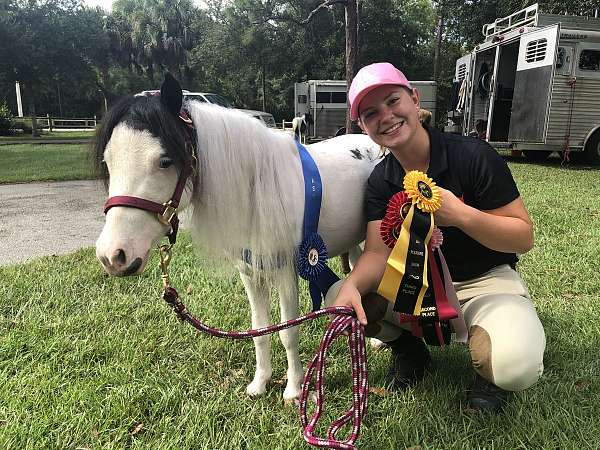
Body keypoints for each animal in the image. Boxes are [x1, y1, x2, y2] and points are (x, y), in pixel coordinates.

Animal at [94, 75, 380, 402]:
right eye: (107, 162)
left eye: (165, 161)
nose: (113, 255)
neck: (258, 188)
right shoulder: (250, 272)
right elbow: (260, 329)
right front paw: (260, 382)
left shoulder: (286, 271)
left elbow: (288, 331)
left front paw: (293, 390)